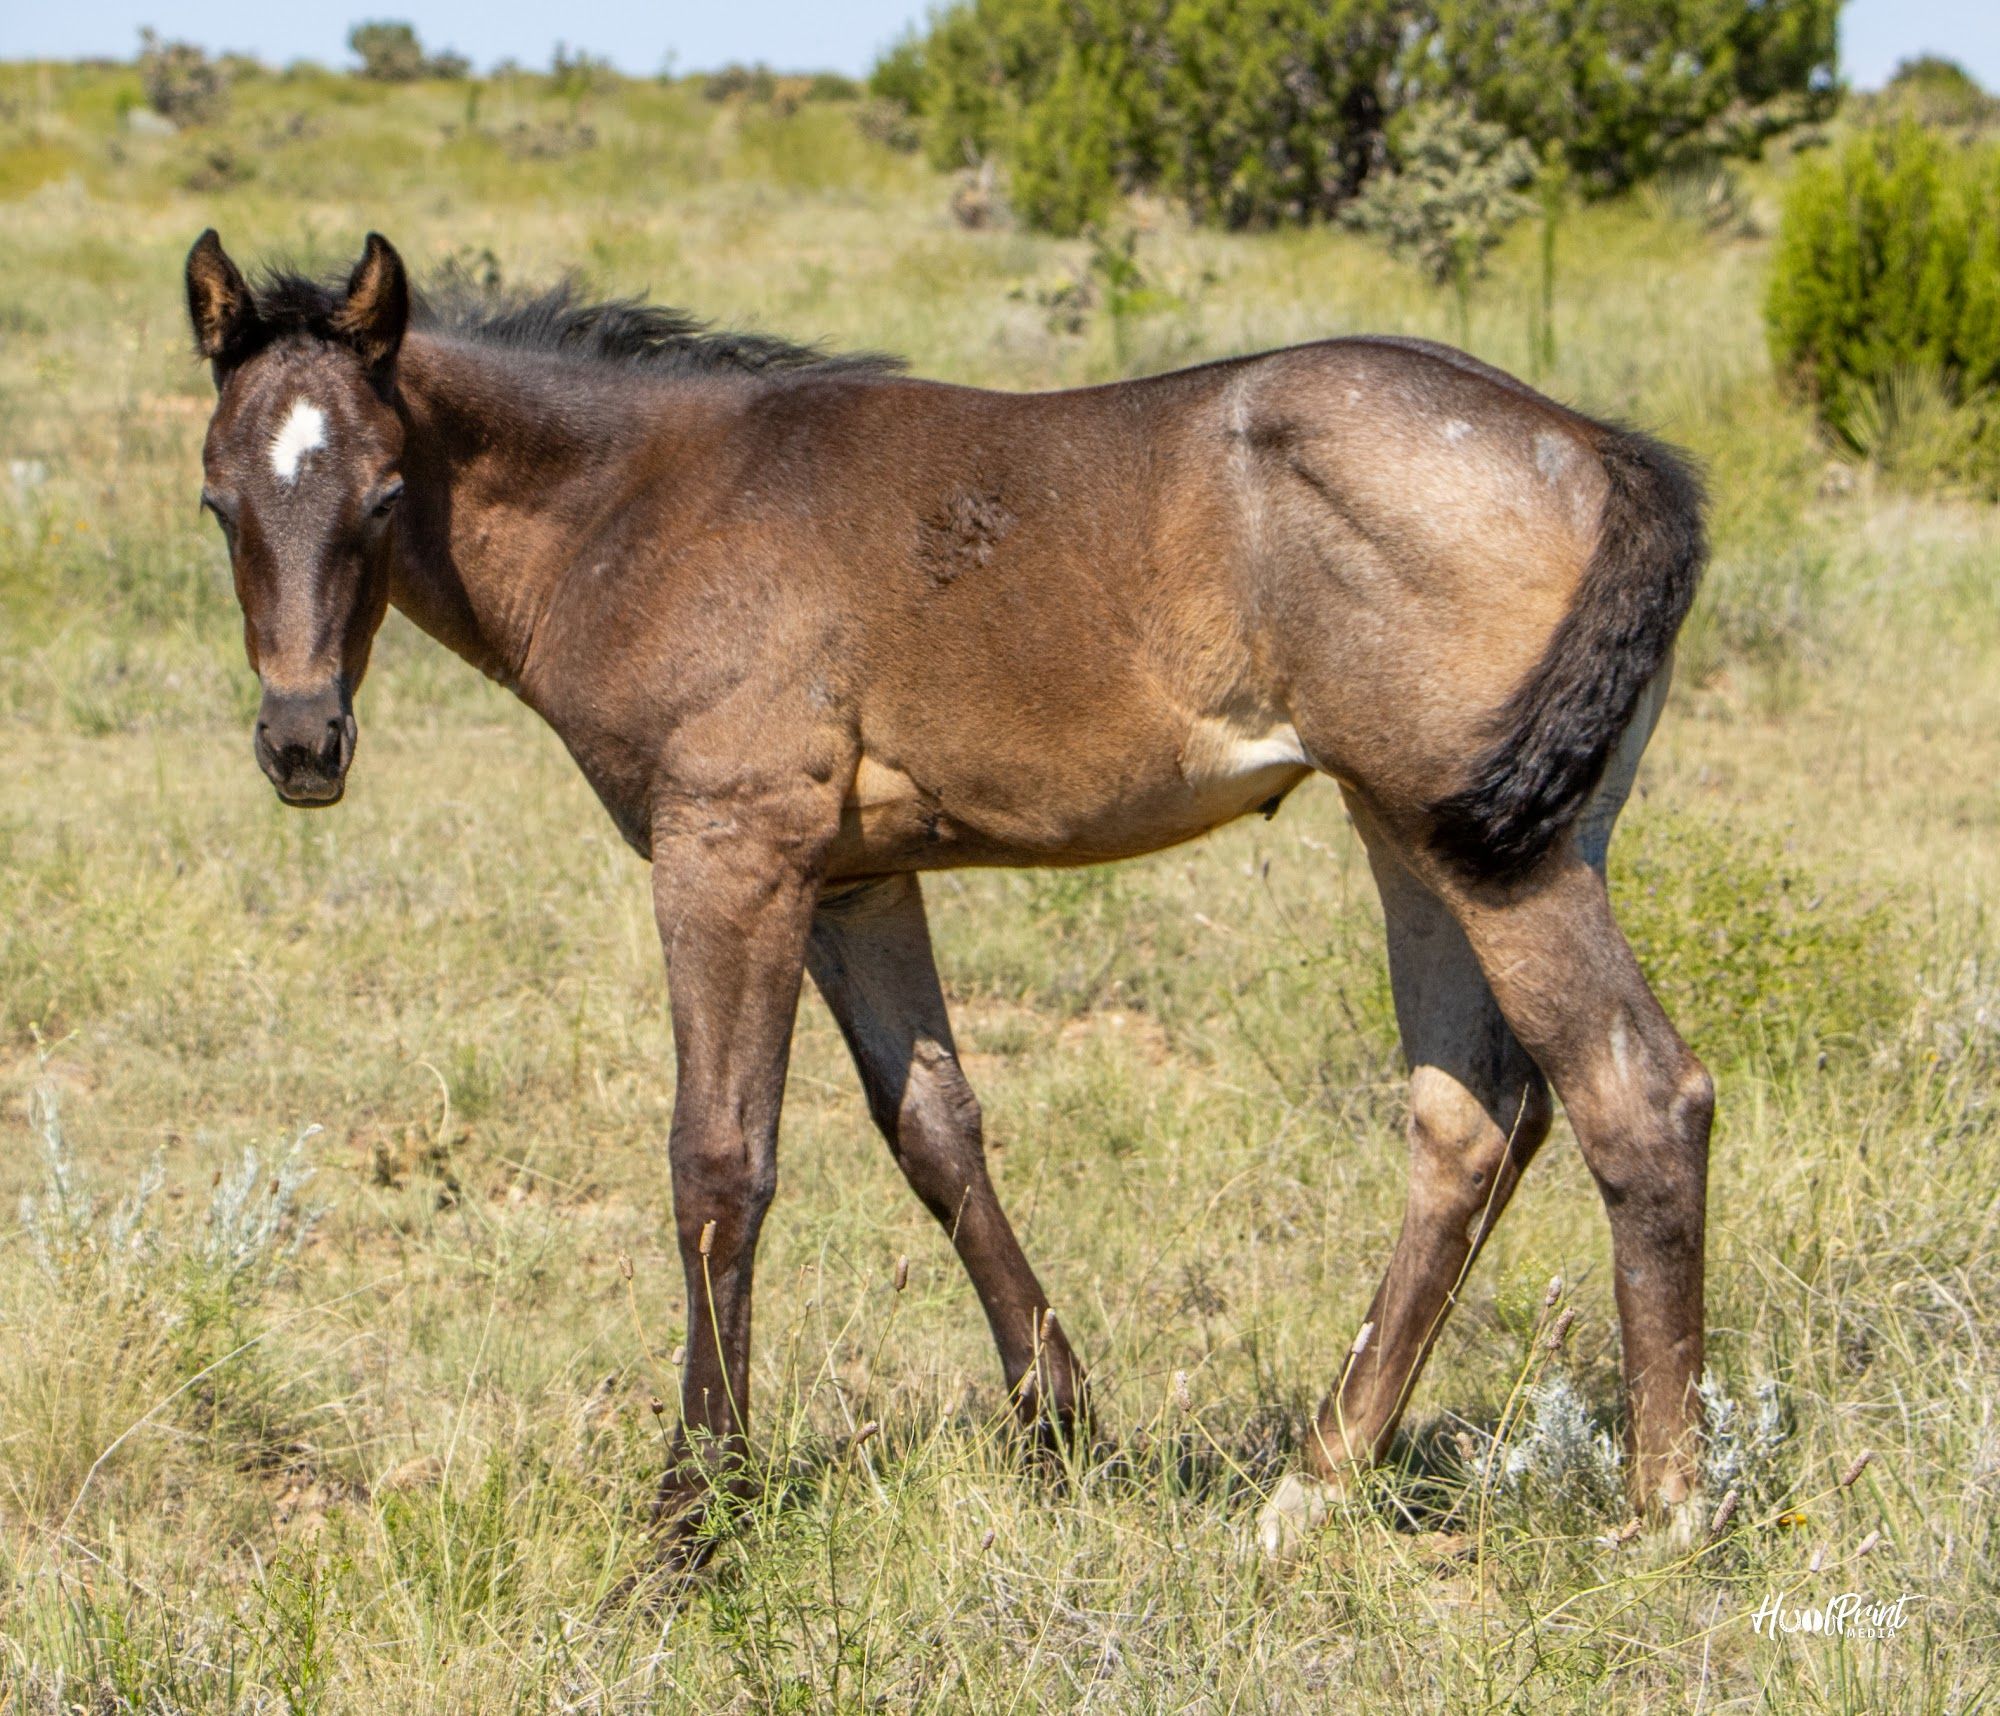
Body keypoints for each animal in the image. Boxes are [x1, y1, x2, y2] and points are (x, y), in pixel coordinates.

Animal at [183, 228, 1713, 1560]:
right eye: (218, 500)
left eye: (384, 494)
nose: (302, 743)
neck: (643, 501)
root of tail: (1596, 445)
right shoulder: (857, 882)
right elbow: (933, 1131)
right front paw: (1065, 1433)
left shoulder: (730, 853)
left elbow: (718, 1163)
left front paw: (693, 1516)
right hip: (1433, 834)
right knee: (1470, 1121)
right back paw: (1312, 1488)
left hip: (1489, 854)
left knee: (1634, 1094)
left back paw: (1663, 1513)